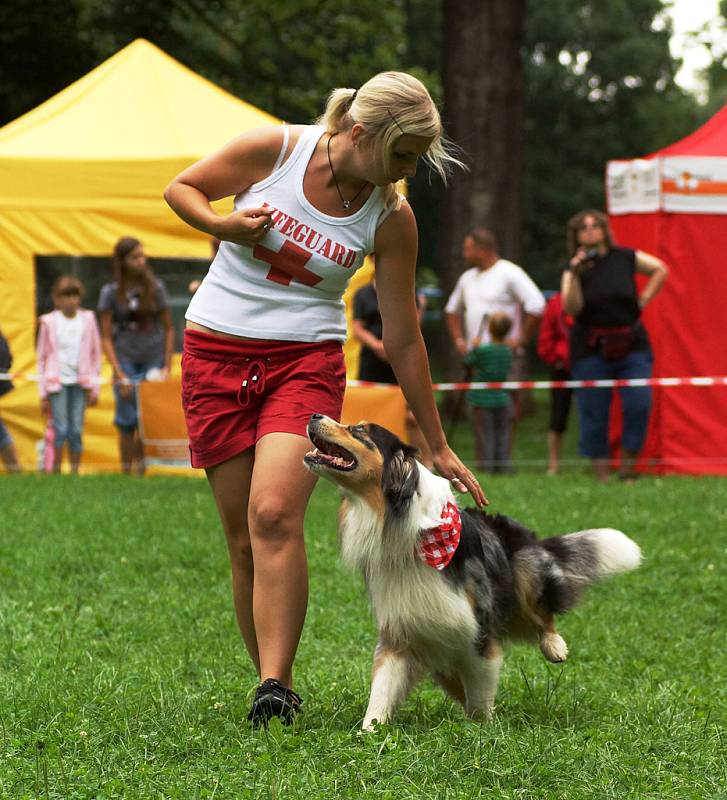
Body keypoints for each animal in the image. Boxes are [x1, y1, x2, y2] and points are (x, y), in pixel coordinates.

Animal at [304, 412, 644, 732]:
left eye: (359, 430)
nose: (314, 415)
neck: (397, 520)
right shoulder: (402, 628)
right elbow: (382, 691)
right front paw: (368, 733)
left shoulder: (477, 627)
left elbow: (480, 690)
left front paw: (483, 730)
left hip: (524, 569)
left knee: (540, 611)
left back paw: (554, 645)